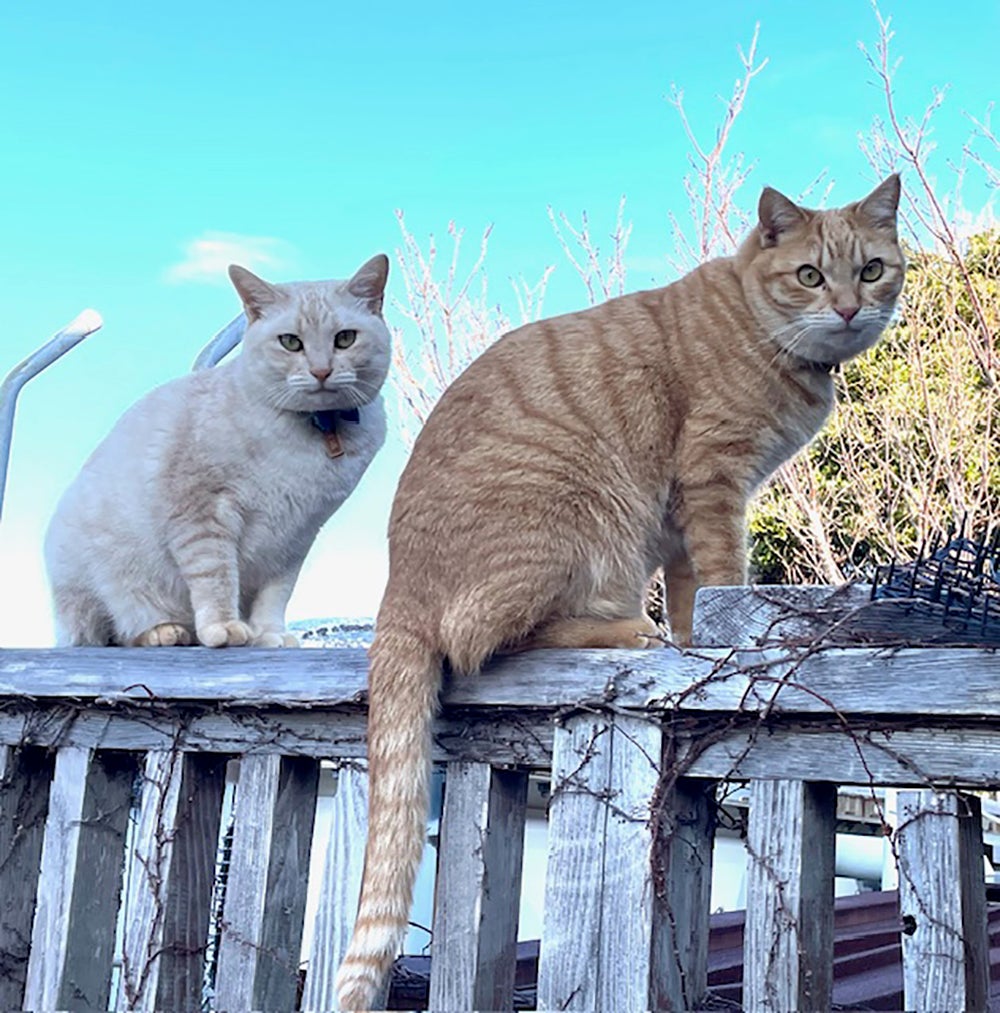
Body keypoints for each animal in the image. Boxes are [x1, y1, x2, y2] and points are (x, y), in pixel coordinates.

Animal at [46, 255, 391, 648]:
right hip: (100, 582)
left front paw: (269, 634)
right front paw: (224, 628)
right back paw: (165, 631)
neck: (315, 431)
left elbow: (276, 595)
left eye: (345, 339)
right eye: (290, 342)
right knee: (116, 631)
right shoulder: (203, 514)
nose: (321, 371)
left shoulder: (296, 537)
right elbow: (216, 578)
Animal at [336, 176, 907, 1004]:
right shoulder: (712, 477)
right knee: (493, 640)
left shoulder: (681, 521)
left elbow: (694, 589)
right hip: (584, 522)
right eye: (809, 276)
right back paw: (625, 630)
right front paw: (722, 629)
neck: (758, 324)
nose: (846, 309)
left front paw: (697, 636)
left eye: (870, 270)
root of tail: (396, 586)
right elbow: (724, 574)